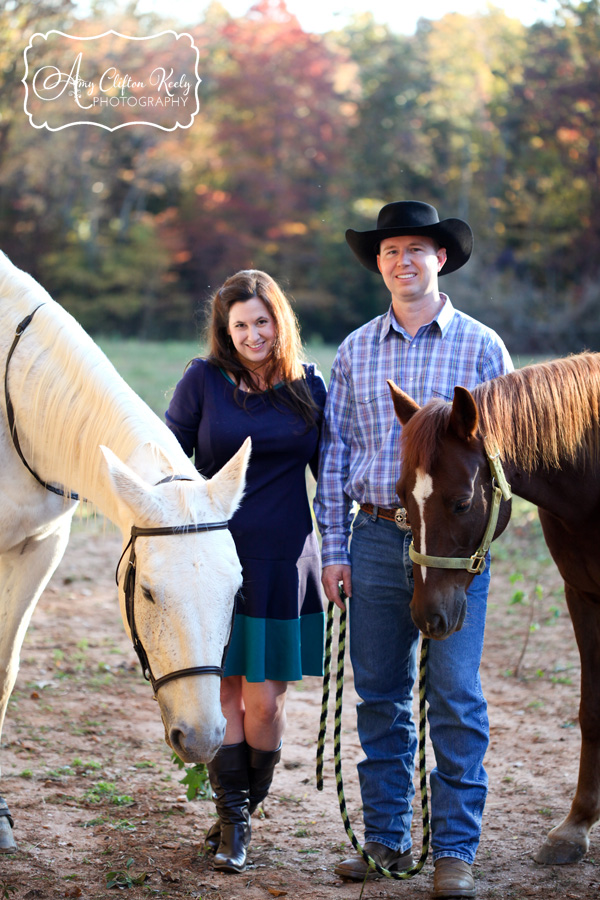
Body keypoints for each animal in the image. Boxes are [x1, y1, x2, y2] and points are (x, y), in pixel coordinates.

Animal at [390, 352, 600, 864]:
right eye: (402, 496)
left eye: (463, 502)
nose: (427, 616)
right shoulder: (581, 595)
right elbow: (590, 710)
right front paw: (576, 826)